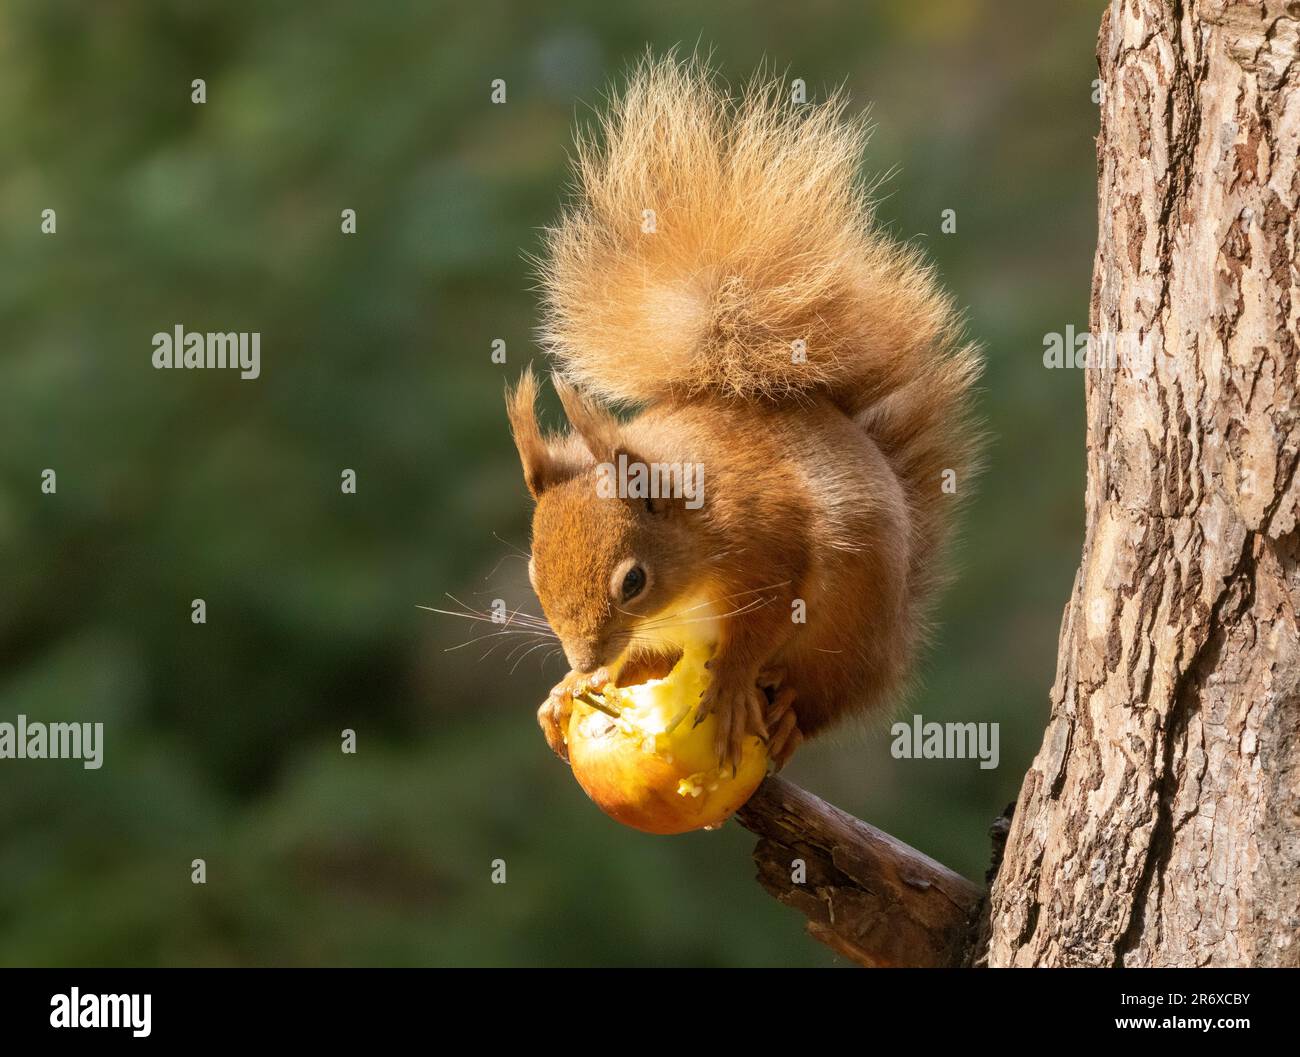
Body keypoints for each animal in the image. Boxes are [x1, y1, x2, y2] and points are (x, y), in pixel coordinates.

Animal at [506, 56, 982, 771]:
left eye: (633, 581)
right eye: (534, 571)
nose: (584, 658)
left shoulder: (771, 550)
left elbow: (761, 623)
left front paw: (728, 681)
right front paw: (570, 688)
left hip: (846, 638)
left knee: (822, 700)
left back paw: (785, 719)